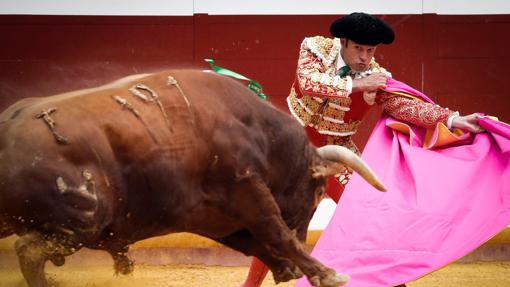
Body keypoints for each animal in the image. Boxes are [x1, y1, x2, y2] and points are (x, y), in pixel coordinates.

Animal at [0, 70, 382, 287]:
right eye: (317, 192)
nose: (306, 237)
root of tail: (9, 127)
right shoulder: (247, 187)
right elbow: (276, 232)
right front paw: (325, 272)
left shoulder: (211, 217)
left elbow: (254, 242)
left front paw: (287, 268)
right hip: (84, 220)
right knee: (28, 251)